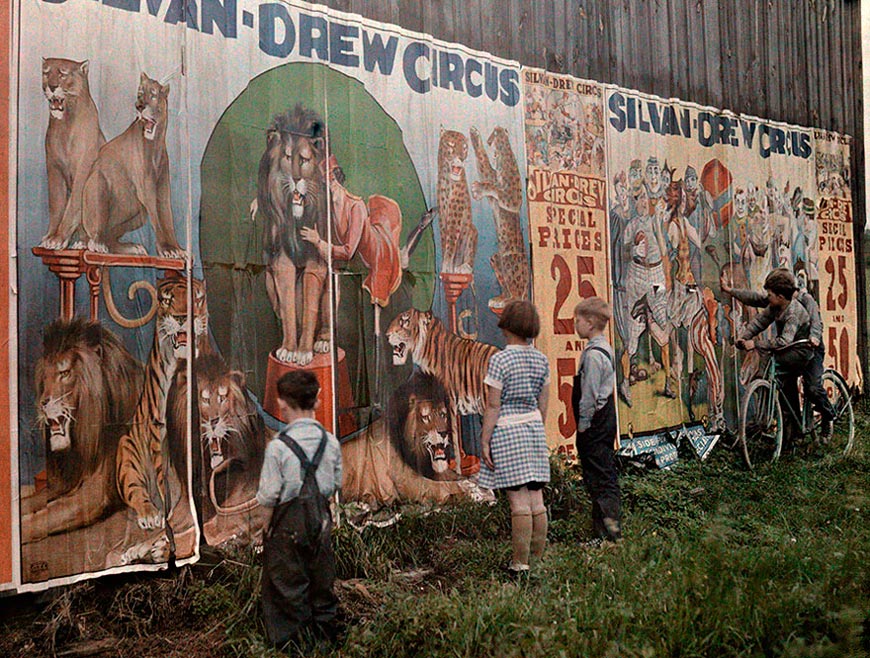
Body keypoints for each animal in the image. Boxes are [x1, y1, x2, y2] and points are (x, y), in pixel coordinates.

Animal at [22, 316, 144, 540]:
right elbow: (30, 502)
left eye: (65, 373)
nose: (42, 403)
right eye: (44, 377)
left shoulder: (94, 495)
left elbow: (44, 517)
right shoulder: (62, 483)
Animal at [116, 274, 210, 532]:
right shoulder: (158, 426)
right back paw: (150, 514)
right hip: (127, 449)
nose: (182, 318)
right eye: (167, 300)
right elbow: (164, 475)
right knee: (137, 491)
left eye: (196, 298)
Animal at [258, 102, 332, 364]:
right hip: (268, 283)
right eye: (288, 157)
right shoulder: (281, 261)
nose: (296, 178)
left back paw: (323, 341)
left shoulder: (317, 260)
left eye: (305, 159)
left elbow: (310, 308)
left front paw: (304, 351)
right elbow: (290, 308)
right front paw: (289, 349)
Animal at [436, 129, 476, 272]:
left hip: (472, 229)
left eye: (464, 148)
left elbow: (451, 238)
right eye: (451, 144)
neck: (447, 179)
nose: (461, 159)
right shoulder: (442, 213)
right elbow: (444, 238)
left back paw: (464, 267)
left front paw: (447, 266)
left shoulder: (455, 212)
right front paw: (446, 266)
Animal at [470, 127, 532, 308]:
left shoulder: (513, 198)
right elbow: (484, 165)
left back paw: (511, 299)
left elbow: (497, 188)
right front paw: (475, 137)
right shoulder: (491, 178)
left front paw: (478, 188)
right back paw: (501, 298)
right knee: (506, 284)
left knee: (517, 292)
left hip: (510, 260)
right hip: (496, 258)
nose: (490, 140)